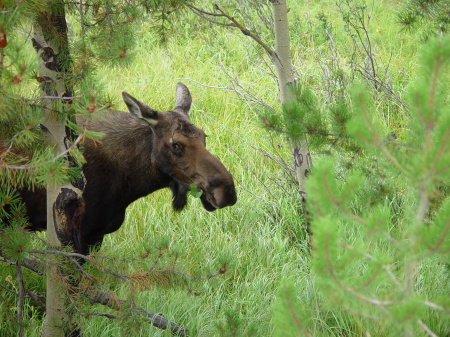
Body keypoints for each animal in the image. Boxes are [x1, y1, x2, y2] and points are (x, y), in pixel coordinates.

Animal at [18, 82, 236, 253]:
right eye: (176, 145)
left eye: (204, 136)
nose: (227, 191)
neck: (130, 181)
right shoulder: (79, 234)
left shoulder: (95, 234)